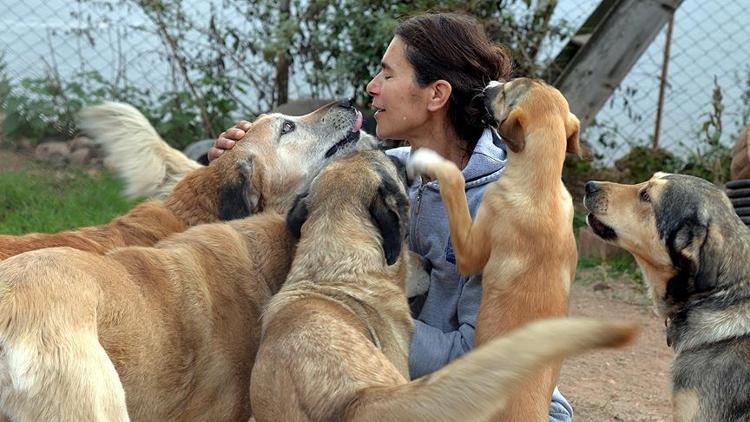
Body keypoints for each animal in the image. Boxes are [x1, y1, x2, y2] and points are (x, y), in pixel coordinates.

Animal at [408, 77, 584, 420]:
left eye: (504, 92)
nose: (488, 83)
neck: (540, 186)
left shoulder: (469, 251)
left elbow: (454, 181)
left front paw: (430, 161)